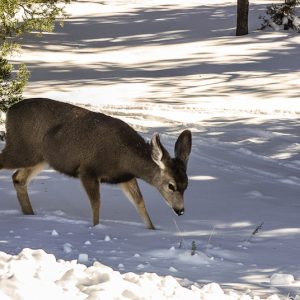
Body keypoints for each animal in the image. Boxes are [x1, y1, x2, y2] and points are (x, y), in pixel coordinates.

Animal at [0, 97, 192, 229]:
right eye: (171, 185)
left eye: (186, 185)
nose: (180, 210)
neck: (124, 157)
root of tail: (9, 111)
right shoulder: (88, 170)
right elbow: (96, 204)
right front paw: (96, 228)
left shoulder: (124, 177)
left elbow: (140, 202)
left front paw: (152, 229)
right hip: (21, 149)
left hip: (39, 158)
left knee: (18, 178)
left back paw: (30, 215)